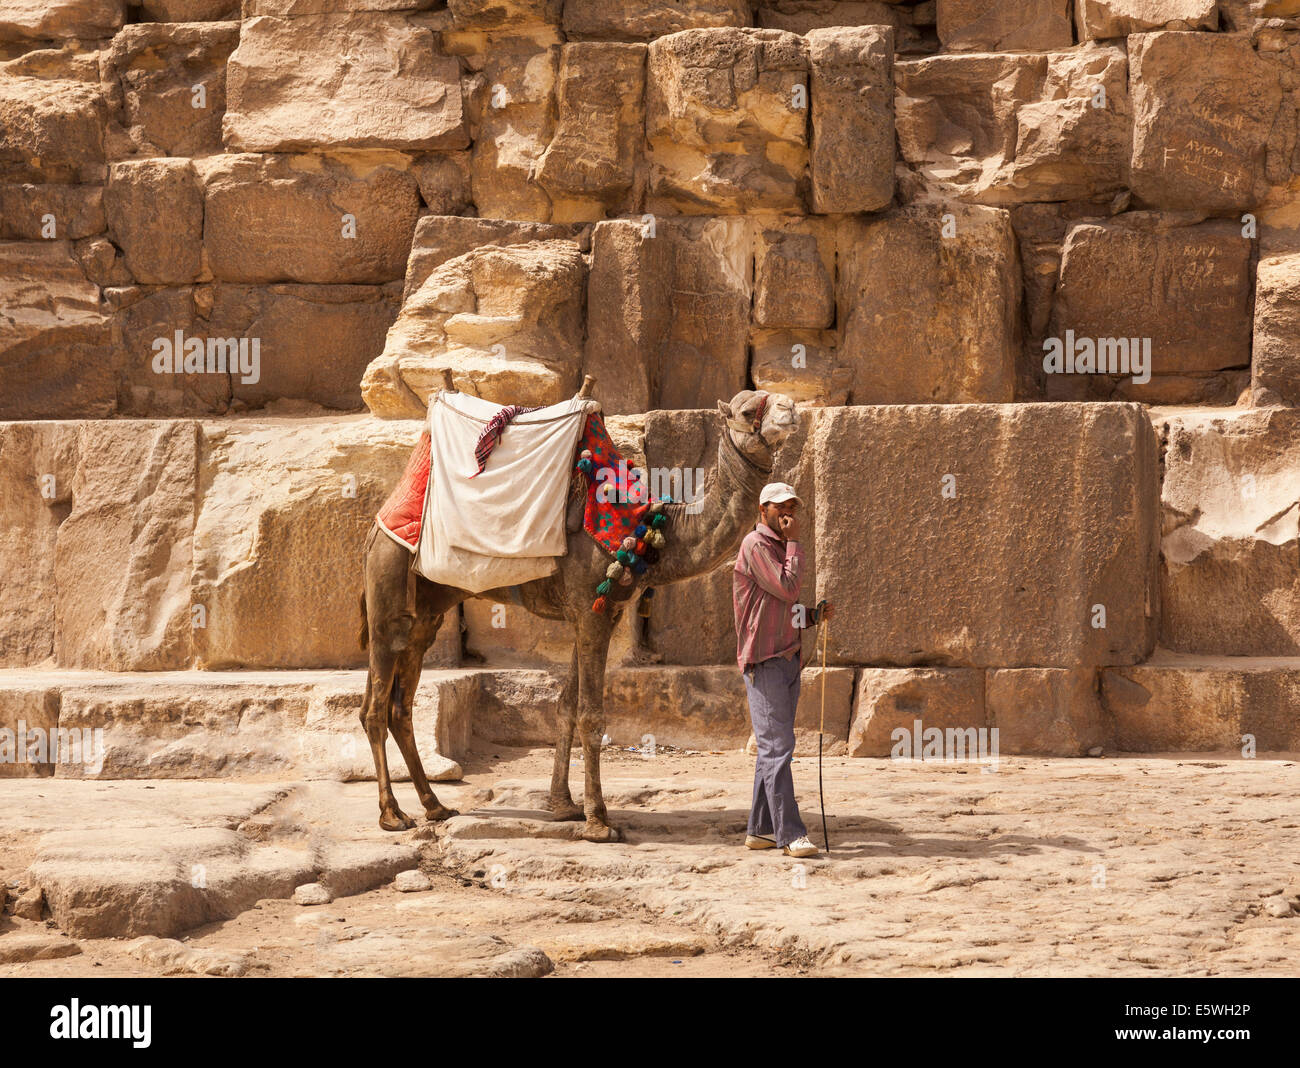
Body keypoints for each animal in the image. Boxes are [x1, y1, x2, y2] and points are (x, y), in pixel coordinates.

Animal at [358, 379, 800, 847]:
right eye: (749, 410)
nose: (791, 407)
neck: (649, 531)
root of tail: (378, 523)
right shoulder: (592, 613)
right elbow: (591, 714)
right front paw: (598, 821)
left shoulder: (594, 612)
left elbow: (566, 706)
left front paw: (563, 806)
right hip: (387, 582)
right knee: (374, 706)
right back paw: (392, 814)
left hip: (425, 611)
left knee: (400, 705)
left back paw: (435, 806)